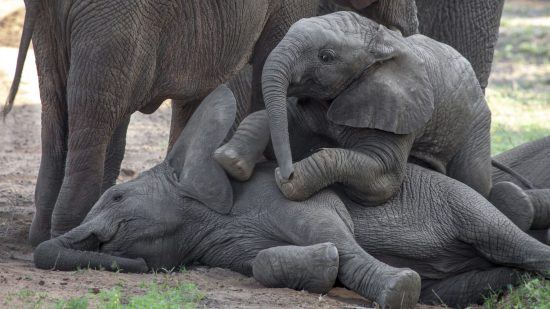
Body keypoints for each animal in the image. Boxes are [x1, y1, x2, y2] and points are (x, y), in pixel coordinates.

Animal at [5, 0, 320, 245]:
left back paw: (43, 236)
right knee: (98, 109)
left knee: (58, 105)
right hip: (117, 21)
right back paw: (70, 231)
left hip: (55, 28)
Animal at [33, 85, 550, 306]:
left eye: (117, 198)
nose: (134, 265)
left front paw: (397, 289)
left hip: (465, 202)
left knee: (506, 238)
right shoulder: (230, 247)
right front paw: (321, 266)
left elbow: (335, 233)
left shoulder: (286, 196)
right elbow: (266, 262)